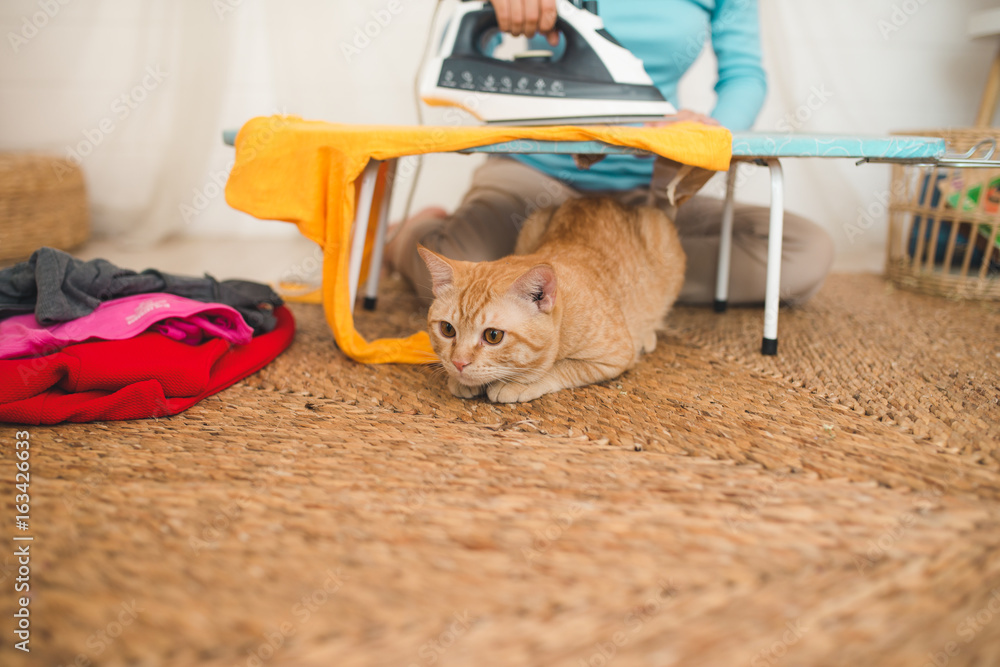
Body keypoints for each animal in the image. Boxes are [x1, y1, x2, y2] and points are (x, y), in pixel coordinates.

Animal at [416, 196, 688, 404]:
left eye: (493, 336)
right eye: (447, 329)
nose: (459, 363)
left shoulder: (615, 355)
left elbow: (561, 367)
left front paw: (520, 383)